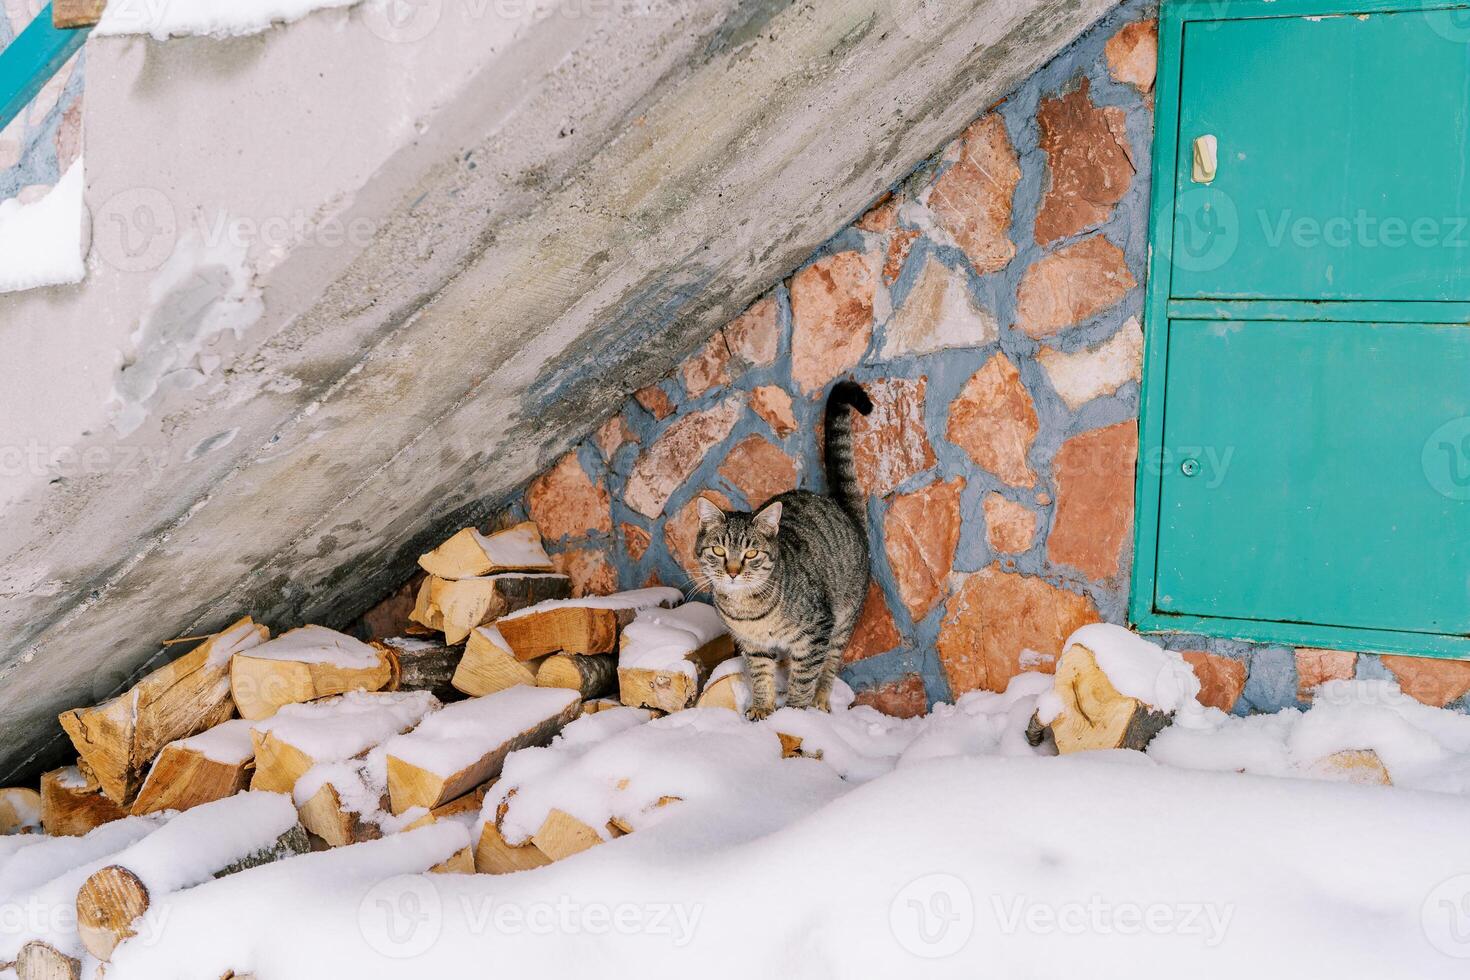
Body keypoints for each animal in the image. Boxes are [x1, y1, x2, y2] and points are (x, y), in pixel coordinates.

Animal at [696, 379, 870, 719]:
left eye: (751, 553)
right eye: (719, 552)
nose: (732, 572)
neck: (748, 610)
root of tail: (841, 507)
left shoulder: (816, 631)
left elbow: (804, 677)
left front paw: (794, 714)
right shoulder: (753, 646)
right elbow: (760, 675)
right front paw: (762, 708)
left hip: (844, 619)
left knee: (830, 664)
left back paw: (821, 700)